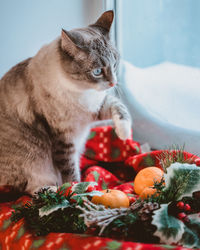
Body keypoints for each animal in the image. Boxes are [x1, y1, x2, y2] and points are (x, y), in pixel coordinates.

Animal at [0, 10, 132, 195]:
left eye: (115, 64)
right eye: (97, 71)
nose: (113, 83)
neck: (81, 90)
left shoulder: (96, 108)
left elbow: (120, 107)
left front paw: (124, 134)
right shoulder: (64, 139)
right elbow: (70, 171)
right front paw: (78, 188)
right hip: (34, 164)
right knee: (30, 189)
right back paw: (52, 190)